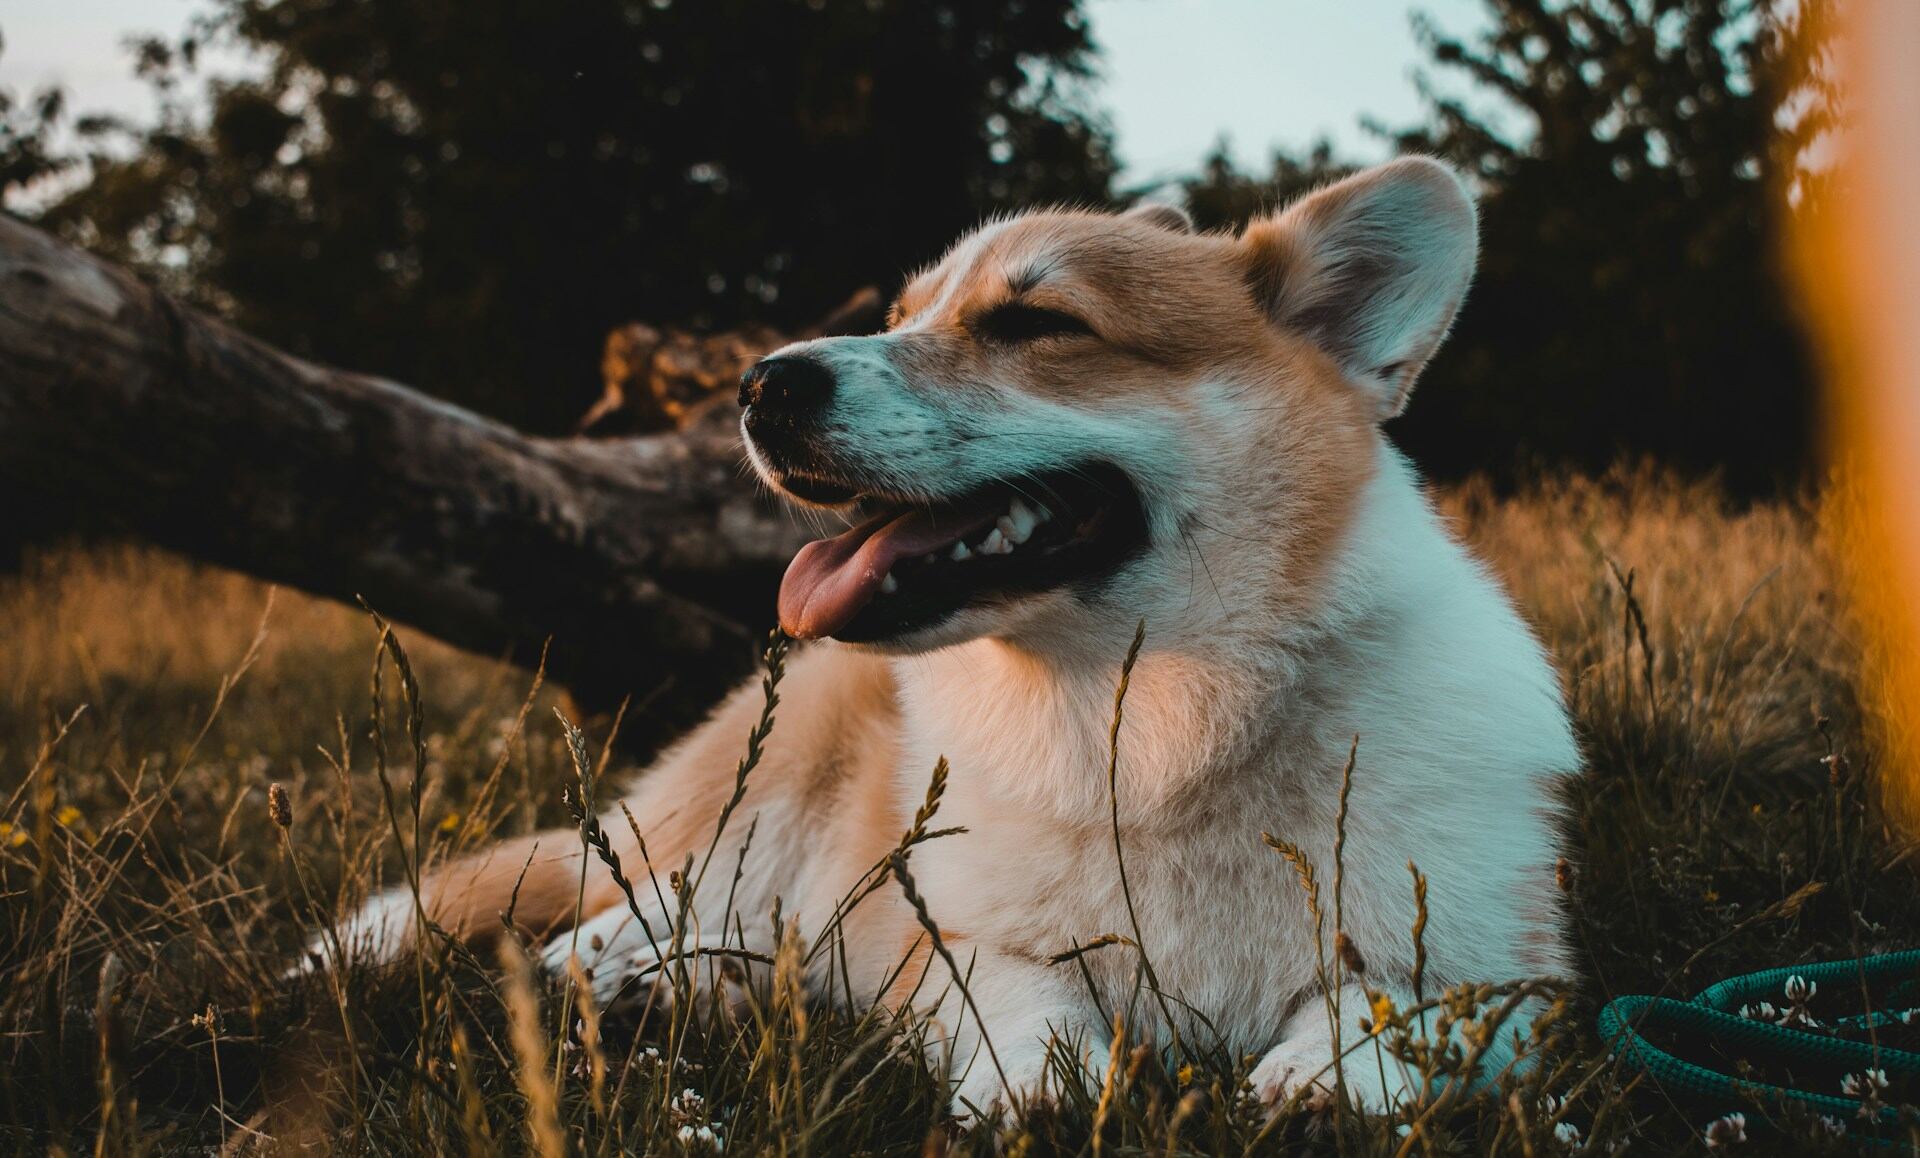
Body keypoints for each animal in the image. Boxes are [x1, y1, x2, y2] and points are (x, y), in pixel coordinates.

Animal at [314, 158, 1574, 1121]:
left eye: (1035, 323)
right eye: (901, 315)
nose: (759, 385)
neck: (1156, 734)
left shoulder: (1507, 971)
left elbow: (1387, 1006)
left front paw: (1327, 1084)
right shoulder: (944, 936)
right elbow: (1022, 997)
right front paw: (1039, 1083)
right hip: (760, 801)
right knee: (649, 892)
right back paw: (617, 970)